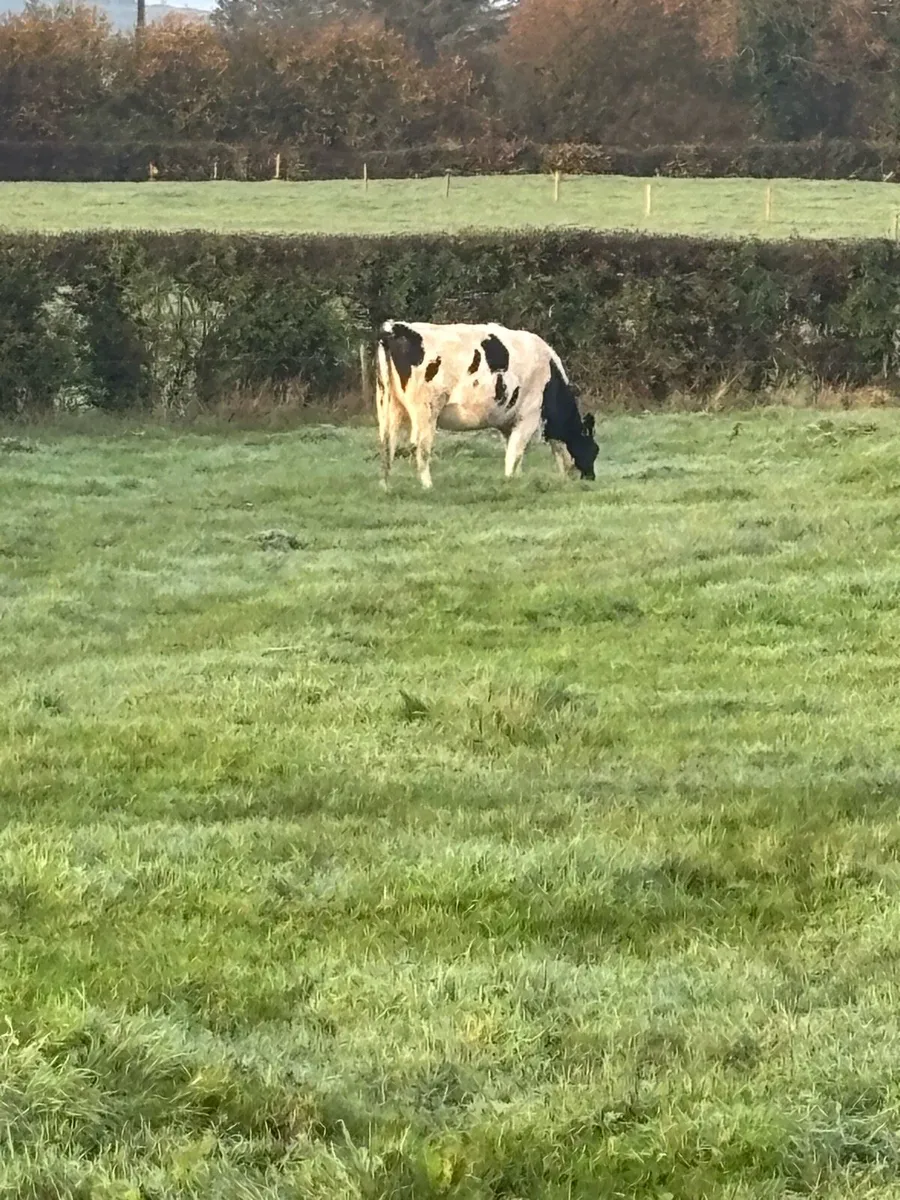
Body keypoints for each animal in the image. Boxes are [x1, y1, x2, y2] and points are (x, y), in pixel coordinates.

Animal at [374, 320, 599, 490]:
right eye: (594, 449)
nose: (591, 478)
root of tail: (395, 328)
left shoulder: (508, 422)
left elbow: (515, 452)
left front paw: (516, 479)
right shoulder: (529, 415)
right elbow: (516, 452)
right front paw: (510, 481)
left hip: (388, 405)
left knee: (388, 444)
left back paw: (386, 486)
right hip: (426, 409)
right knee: (421, 446)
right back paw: (428, 486)